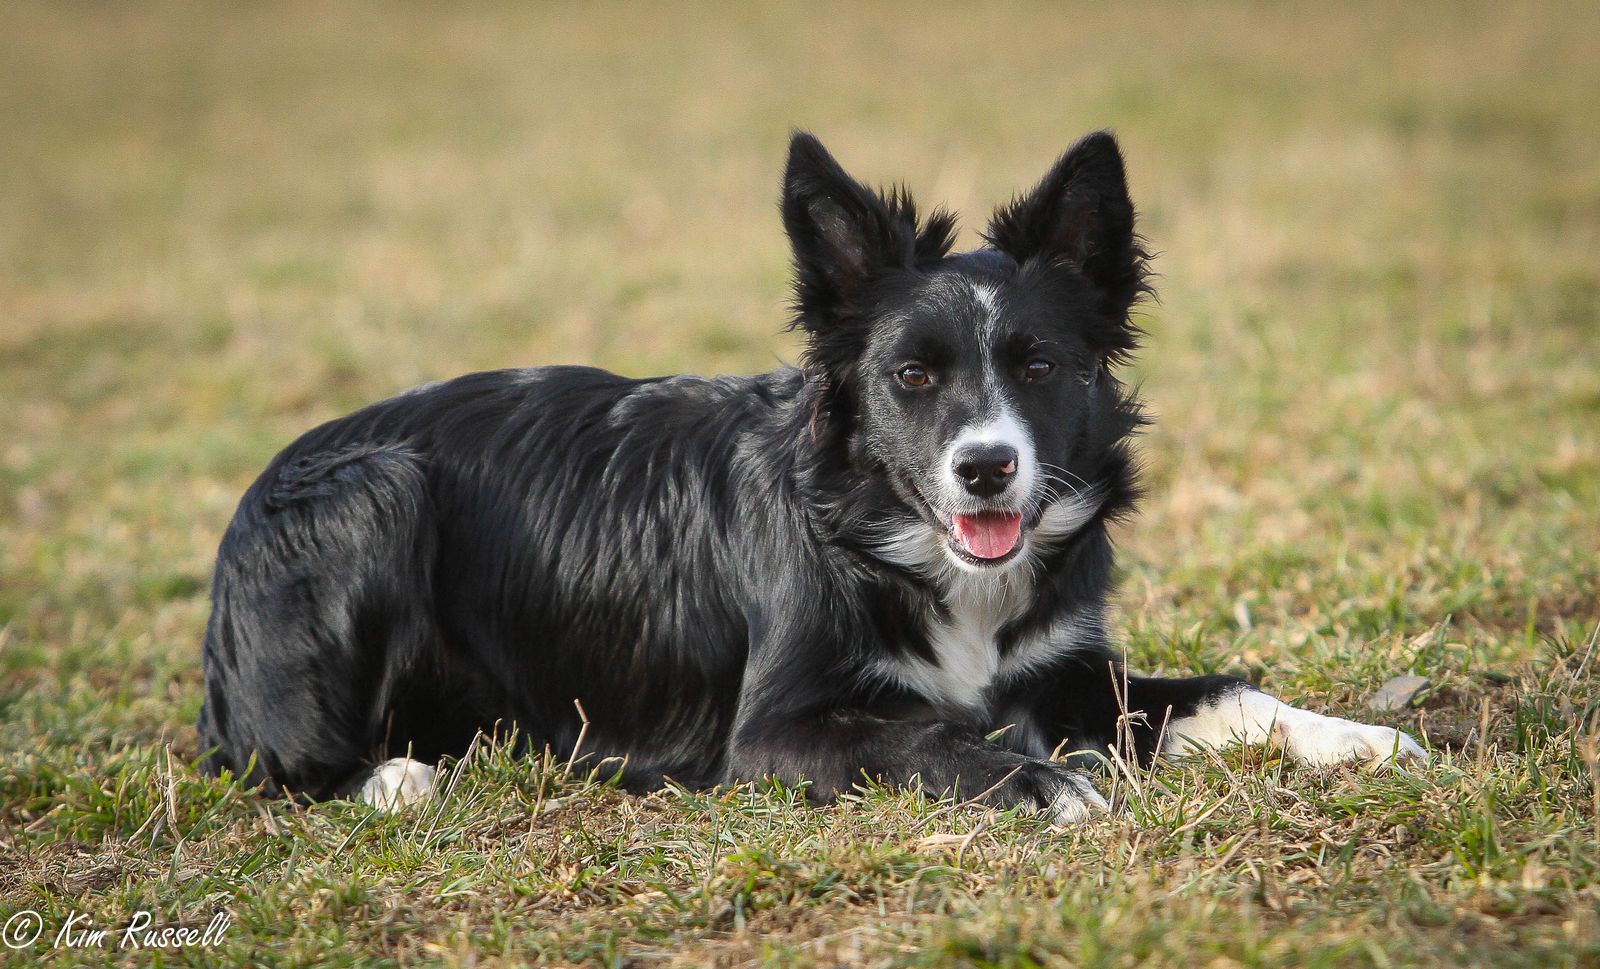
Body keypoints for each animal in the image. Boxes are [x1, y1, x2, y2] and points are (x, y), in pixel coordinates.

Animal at [196, 131, 1424, 817]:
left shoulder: (1072, 671)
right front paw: (1037, 782)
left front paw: (1357, 738)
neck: (903, 547)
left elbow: (1227, 690)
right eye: (912, 374)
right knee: (267, 763)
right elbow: (922, 734)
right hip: (370, 495)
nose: (987, 470)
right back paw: (392, 779)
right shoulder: (775, 730)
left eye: (1039, 365)